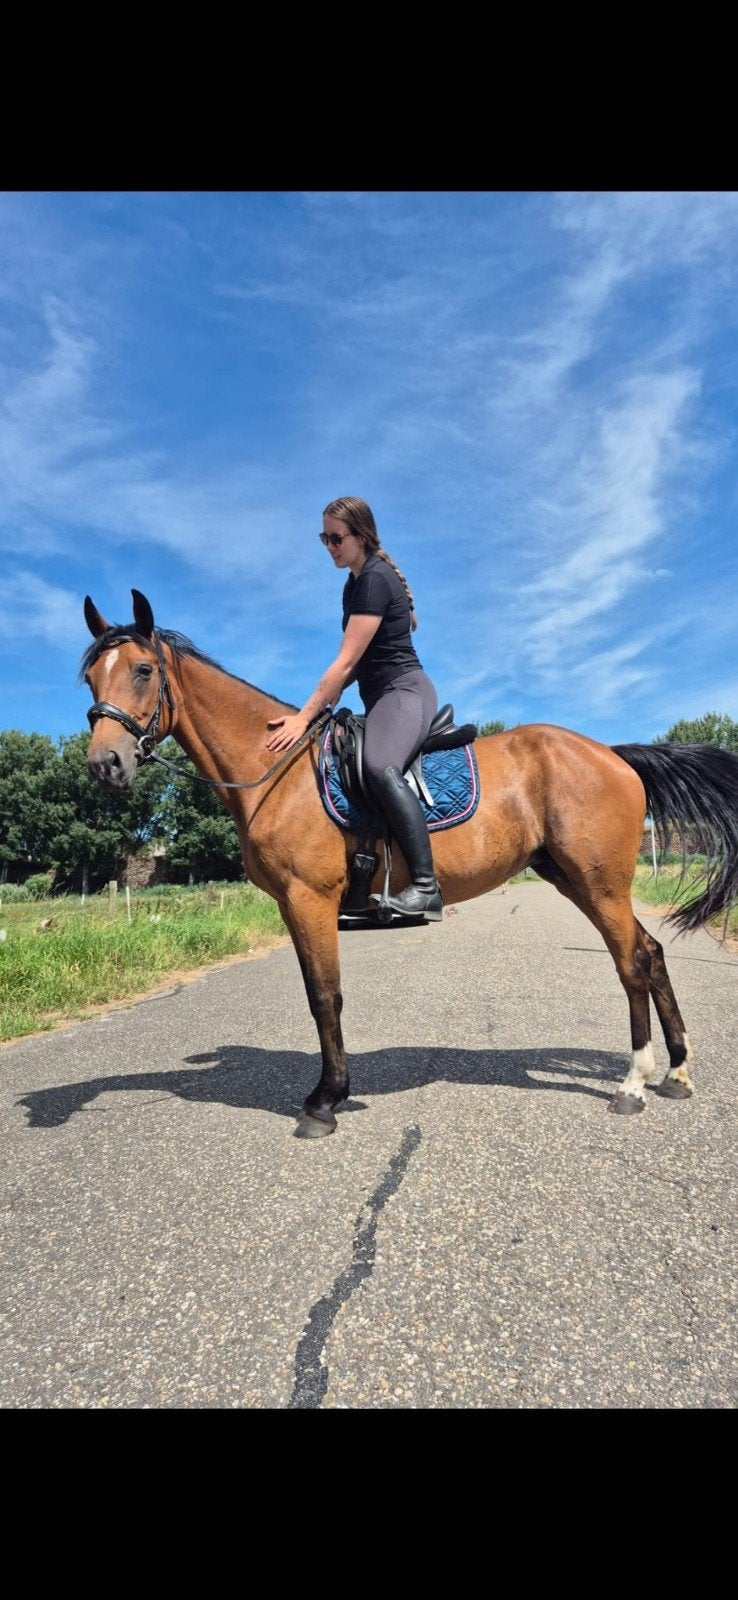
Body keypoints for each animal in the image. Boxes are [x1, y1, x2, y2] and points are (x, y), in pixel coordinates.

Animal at [81, 589, 738, 1138]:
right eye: (89, 678)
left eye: (143, 670)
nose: (104, 765)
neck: (277, 769)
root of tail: (613, 754)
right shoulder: (295, 907)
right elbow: (317, 994)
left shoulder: (310, 898)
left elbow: (326, 996)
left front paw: (326, 1101)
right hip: (575, 879)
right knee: (651, 952)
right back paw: (676, 1073)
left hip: (599, 883)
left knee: (632, 962)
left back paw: (634, 1085)